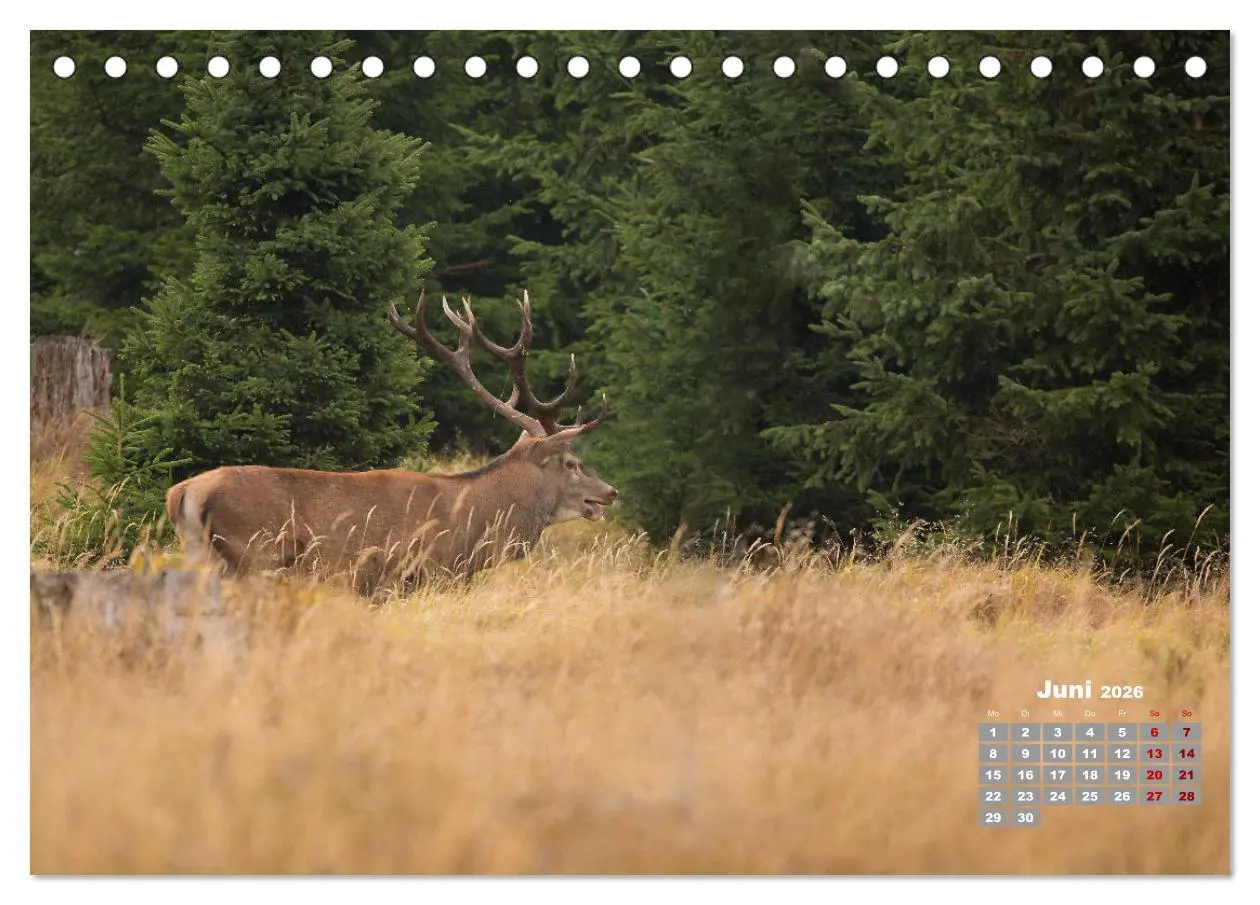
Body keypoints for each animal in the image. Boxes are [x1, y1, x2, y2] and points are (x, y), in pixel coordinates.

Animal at [164, 289, 619, 594]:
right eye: (572, 463)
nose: (611, 491)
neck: (473, 525)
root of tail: (182, 493)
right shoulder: (417, 574)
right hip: (253, 556)